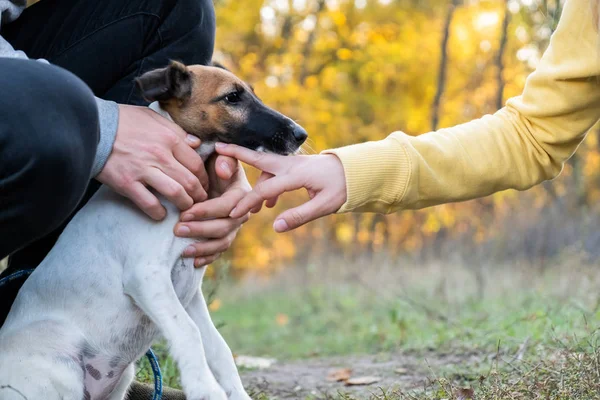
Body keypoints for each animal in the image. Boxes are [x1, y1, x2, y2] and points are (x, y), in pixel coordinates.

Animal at [0, 60, 308, 400]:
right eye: (232, 98)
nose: (301, 135)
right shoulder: (147, 276)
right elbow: (188, 332)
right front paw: (204, 388)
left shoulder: (190, 292)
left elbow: (218, 348)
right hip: (60, 368)